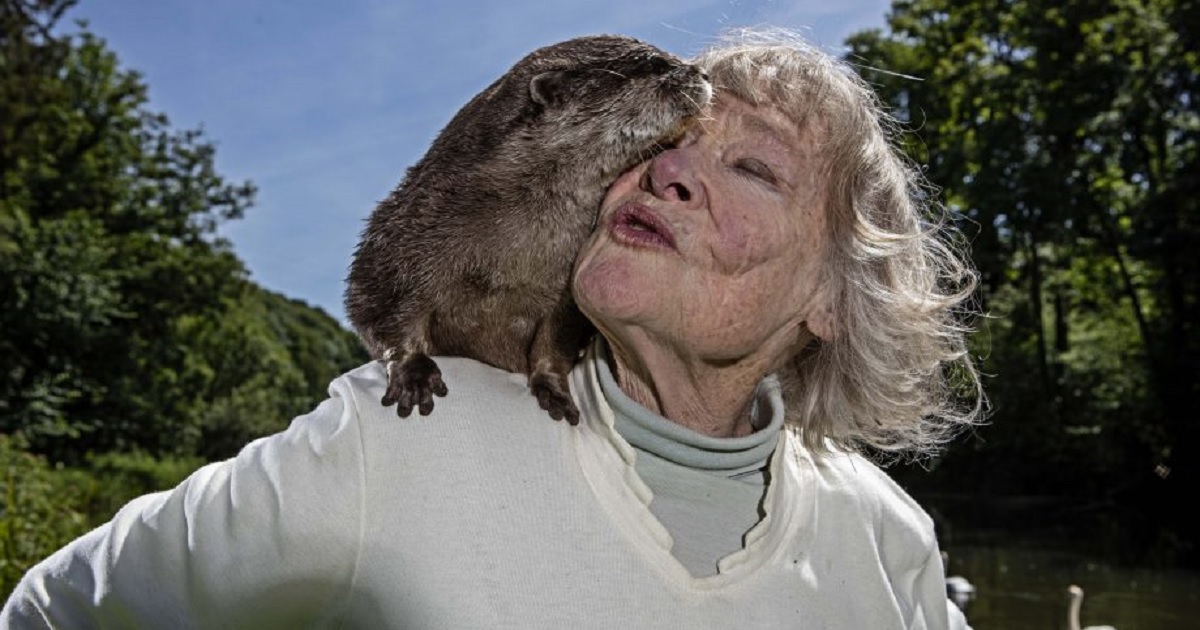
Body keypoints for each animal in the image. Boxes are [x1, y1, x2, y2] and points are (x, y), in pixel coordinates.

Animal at [343, 36, 705, 424]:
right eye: (654, 63)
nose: (701, 73)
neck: (502, 262)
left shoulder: (565, 293)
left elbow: (556, 339)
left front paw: (553, 389)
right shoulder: (400, 234)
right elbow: (379, 307)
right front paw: (413, 371)